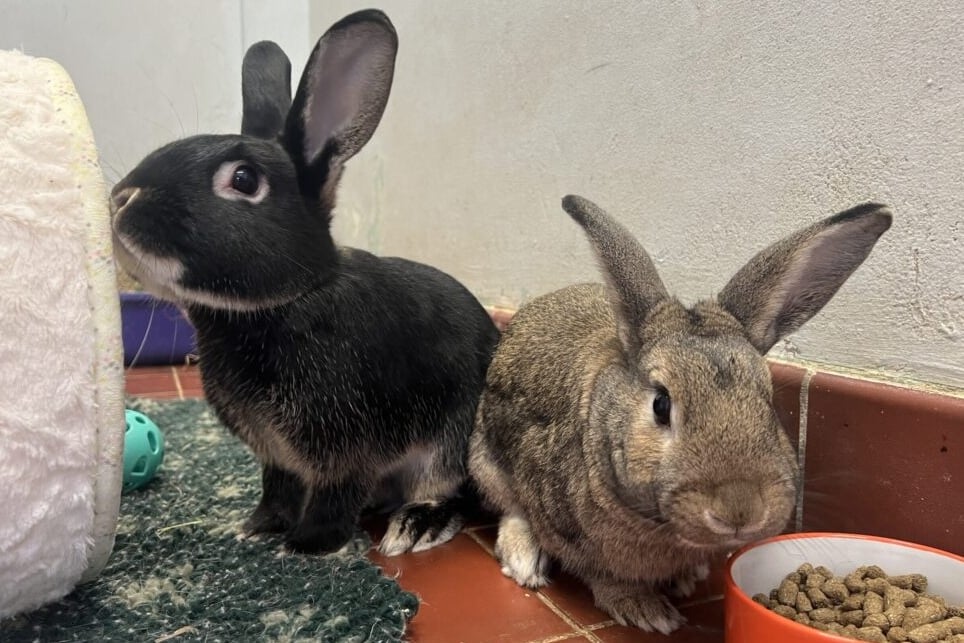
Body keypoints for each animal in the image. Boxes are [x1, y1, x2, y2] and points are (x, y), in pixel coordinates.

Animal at [109, 9, 500, 557]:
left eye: (244, 180)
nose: (121, 199)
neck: (285, 302)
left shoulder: (348, 446)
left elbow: (336, 496)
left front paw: (305, 546)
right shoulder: (278, 456)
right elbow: (278, 488)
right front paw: (258, 526)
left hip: (449, 444)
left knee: (452, 490)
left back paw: (415, 525)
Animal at [469, 194, 892, 633]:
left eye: (768, 399)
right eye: (661, 404)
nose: (740, 511)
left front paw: (683, 579)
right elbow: (603, 575)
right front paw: (647, 612)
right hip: (484, 459)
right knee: (510, 509)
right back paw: (525, 560)